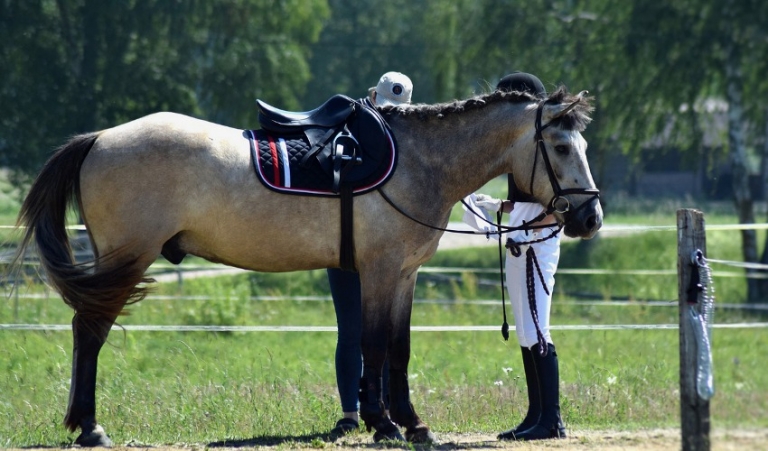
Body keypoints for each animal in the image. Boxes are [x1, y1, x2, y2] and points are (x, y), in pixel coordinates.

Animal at [10, 86, 600, 446]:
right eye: (561, 146)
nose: (590, 217)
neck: (417, 160)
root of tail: (99, 139)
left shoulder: (404, 275)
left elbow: (399, 349)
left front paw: (411, 424)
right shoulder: (380, 271)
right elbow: (374, 346)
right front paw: (384, 424)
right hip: (125, 259)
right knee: (90, 332)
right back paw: (90, 427)